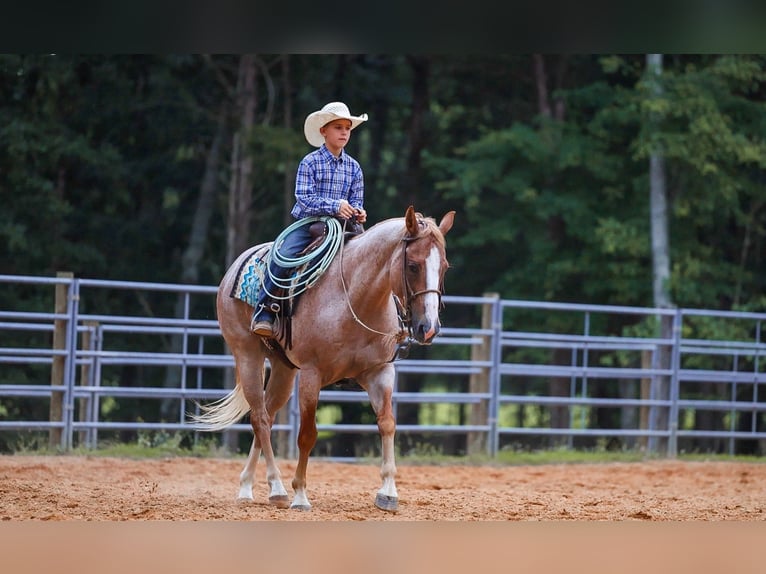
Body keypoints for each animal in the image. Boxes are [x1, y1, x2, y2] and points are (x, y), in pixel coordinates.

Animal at [192, 205, 455, 512]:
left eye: (444, 267)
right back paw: (278, 488)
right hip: (247, 356)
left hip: (283, 369)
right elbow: (307, 434)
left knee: (267, 415)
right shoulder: (311, 373)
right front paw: (300, 495)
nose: (429, 328)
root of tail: (236, 266)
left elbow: (388, 424)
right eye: (413, 265)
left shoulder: (380, 372)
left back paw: (249, 486)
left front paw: (388, 492)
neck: (353, 297)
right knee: (259, 418)